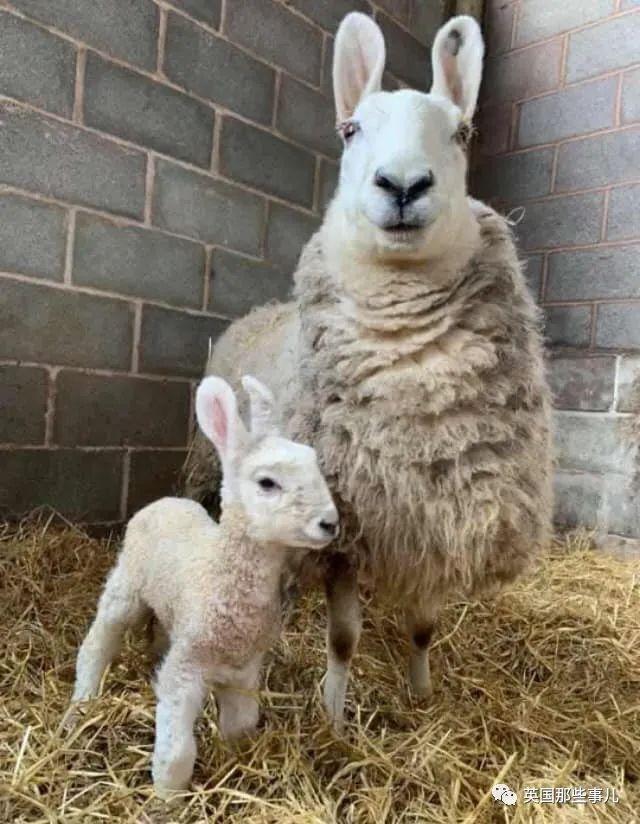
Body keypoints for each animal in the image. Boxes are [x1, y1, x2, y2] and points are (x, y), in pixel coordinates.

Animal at [70, 374, 340, 800]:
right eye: (267, 482)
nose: (330, 523)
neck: (221, 572)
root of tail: (167, 500)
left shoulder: (245, 669)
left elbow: (241, 726)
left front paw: (237, 761)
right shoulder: (186, 668)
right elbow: (178, 753)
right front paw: (167, 798)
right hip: (126, 584)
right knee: (99, 639)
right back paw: (83, 699)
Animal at [182, 14, 552, 728]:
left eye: (462, 133)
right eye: (350, 129)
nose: (403, 185)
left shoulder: (435, 520)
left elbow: (423, 629)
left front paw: (422, 692)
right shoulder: (346, 535)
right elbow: (344, 639)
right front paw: (333, 716)